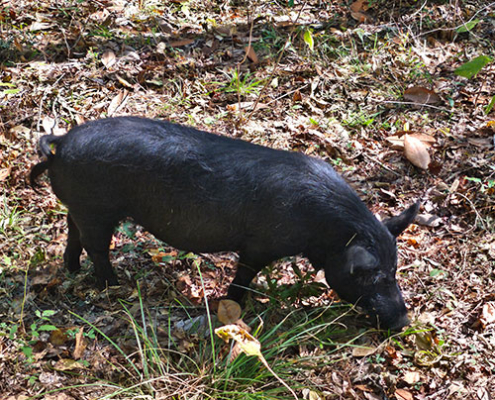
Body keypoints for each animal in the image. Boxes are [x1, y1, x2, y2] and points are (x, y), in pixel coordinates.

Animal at [31, 117, 418, 330]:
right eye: (372, 275)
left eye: (396, 270)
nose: (403, 322)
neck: (324, 230)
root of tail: (63, 143)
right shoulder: (259, 244)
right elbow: (243, 276)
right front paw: (233, 305)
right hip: (97, 209)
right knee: (96, 246)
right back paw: (114, 286)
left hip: (82, 207)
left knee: (72, 231)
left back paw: (71, 269)